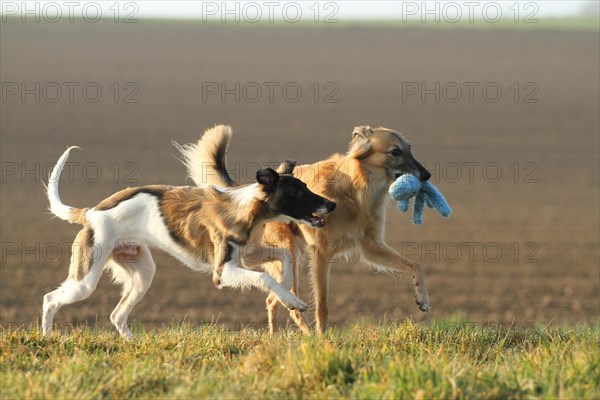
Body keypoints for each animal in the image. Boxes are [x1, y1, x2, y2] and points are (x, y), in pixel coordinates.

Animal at [41, 126, 338, 340]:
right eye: (297, 191)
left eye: (305, 187)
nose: (332, 205)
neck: (244, 208)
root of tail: (91, 212)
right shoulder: (222, 271)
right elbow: (264, 277)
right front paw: (291, 299)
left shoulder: (247, 253)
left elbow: (285, 256)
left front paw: (287, 291)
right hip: (86, 279)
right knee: (50, 299)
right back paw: (48, 337)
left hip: (142, 272)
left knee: (117, 315)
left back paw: (132, 343)